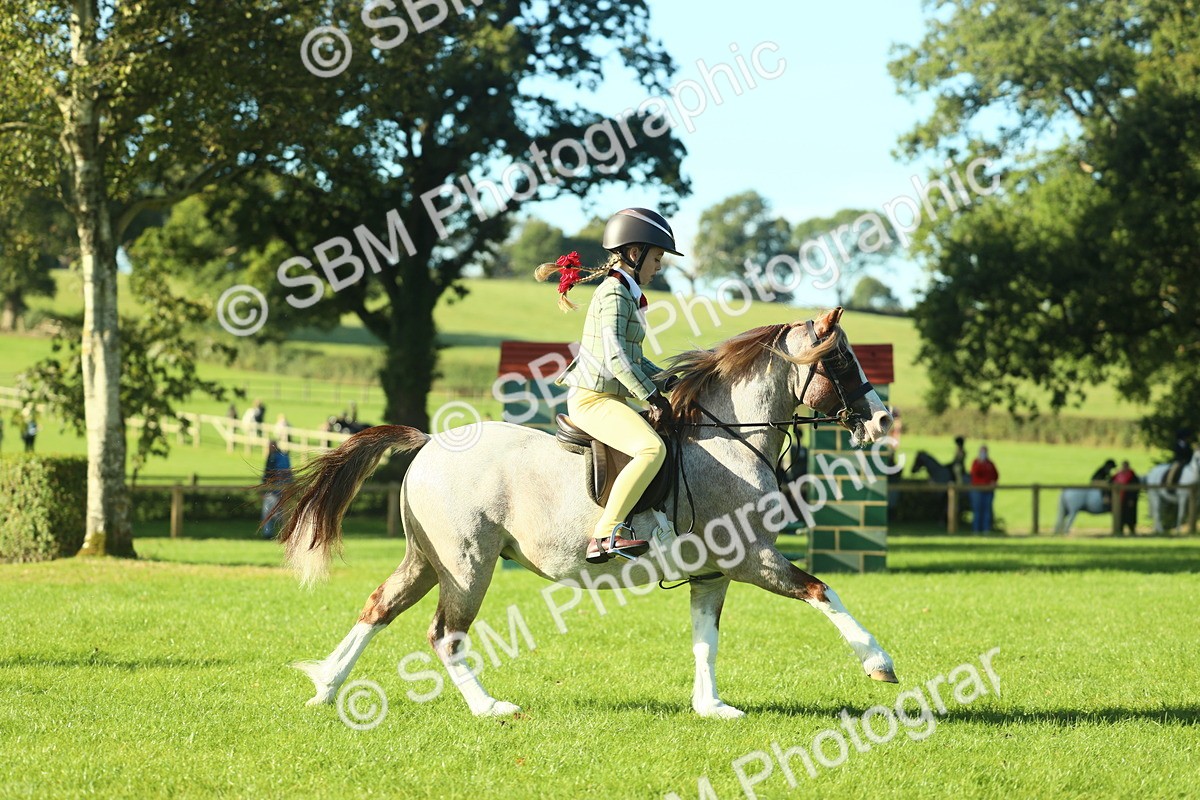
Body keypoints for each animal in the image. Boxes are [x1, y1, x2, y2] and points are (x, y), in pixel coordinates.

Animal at [278, 308, 898, 719]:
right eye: (840, 359)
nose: (882, 421)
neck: (728, 438)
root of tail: (430, 442)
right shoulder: (752, 559)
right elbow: (821, 590)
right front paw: (879, 662)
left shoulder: (713, 572)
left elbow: (706, 640)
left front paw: (711, 707)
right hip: (467, 565)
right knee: (445, 635)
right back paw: (490, 707)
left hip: (428, 559)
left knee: (378, 608)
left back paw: (326, 688)